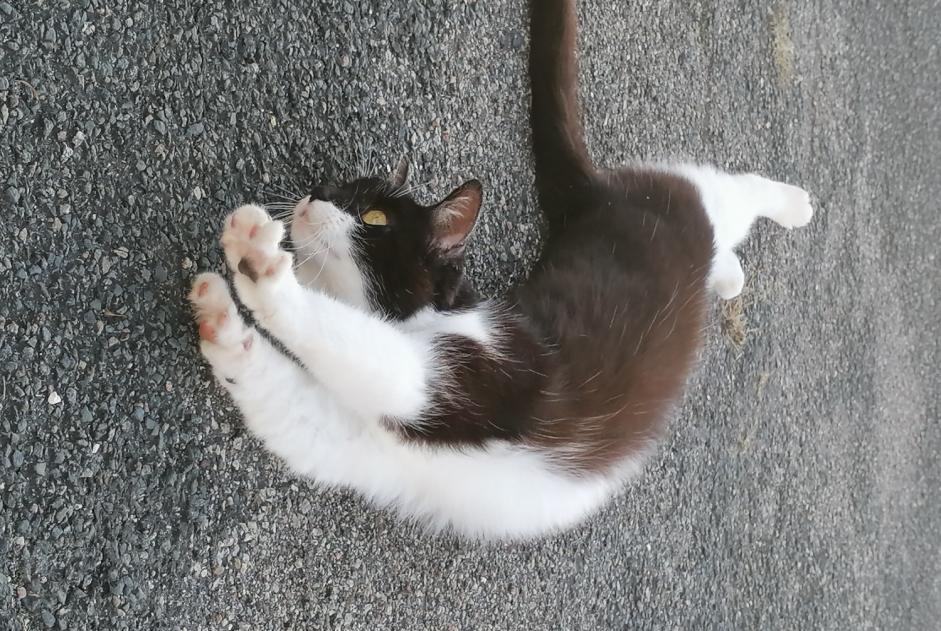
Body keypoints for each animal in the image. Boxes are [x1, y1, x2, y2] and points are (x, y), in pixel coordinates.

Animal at [187, 0, 812, 544]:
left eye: (373, 216)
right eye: (334, 185)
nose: (314, 195)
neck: (419, 316)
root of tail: (592, 198)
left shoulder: (475, 375)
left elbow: (369, 353)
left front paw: (261, 264)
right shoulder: (353, 439)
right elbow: (286, 402)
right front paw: (222, 318)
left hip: (686, 197)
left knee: (733, 186)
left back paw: (795, 203)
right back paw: (728, 276)